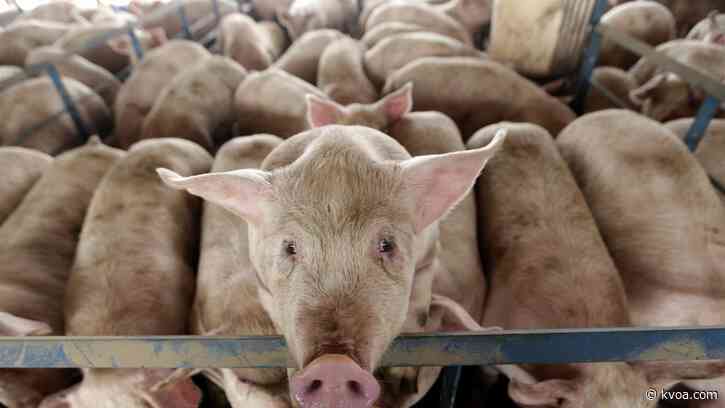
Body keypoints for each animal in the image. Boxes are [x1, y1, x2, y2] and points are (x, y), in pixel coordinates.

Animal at [157, 124, 506, 408]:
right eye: (290, 247)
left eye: (387, 244)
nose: (334, 364)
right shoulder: (263, 287)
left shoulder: (428, 257)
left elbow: (416, 311)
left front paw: (405, 379)